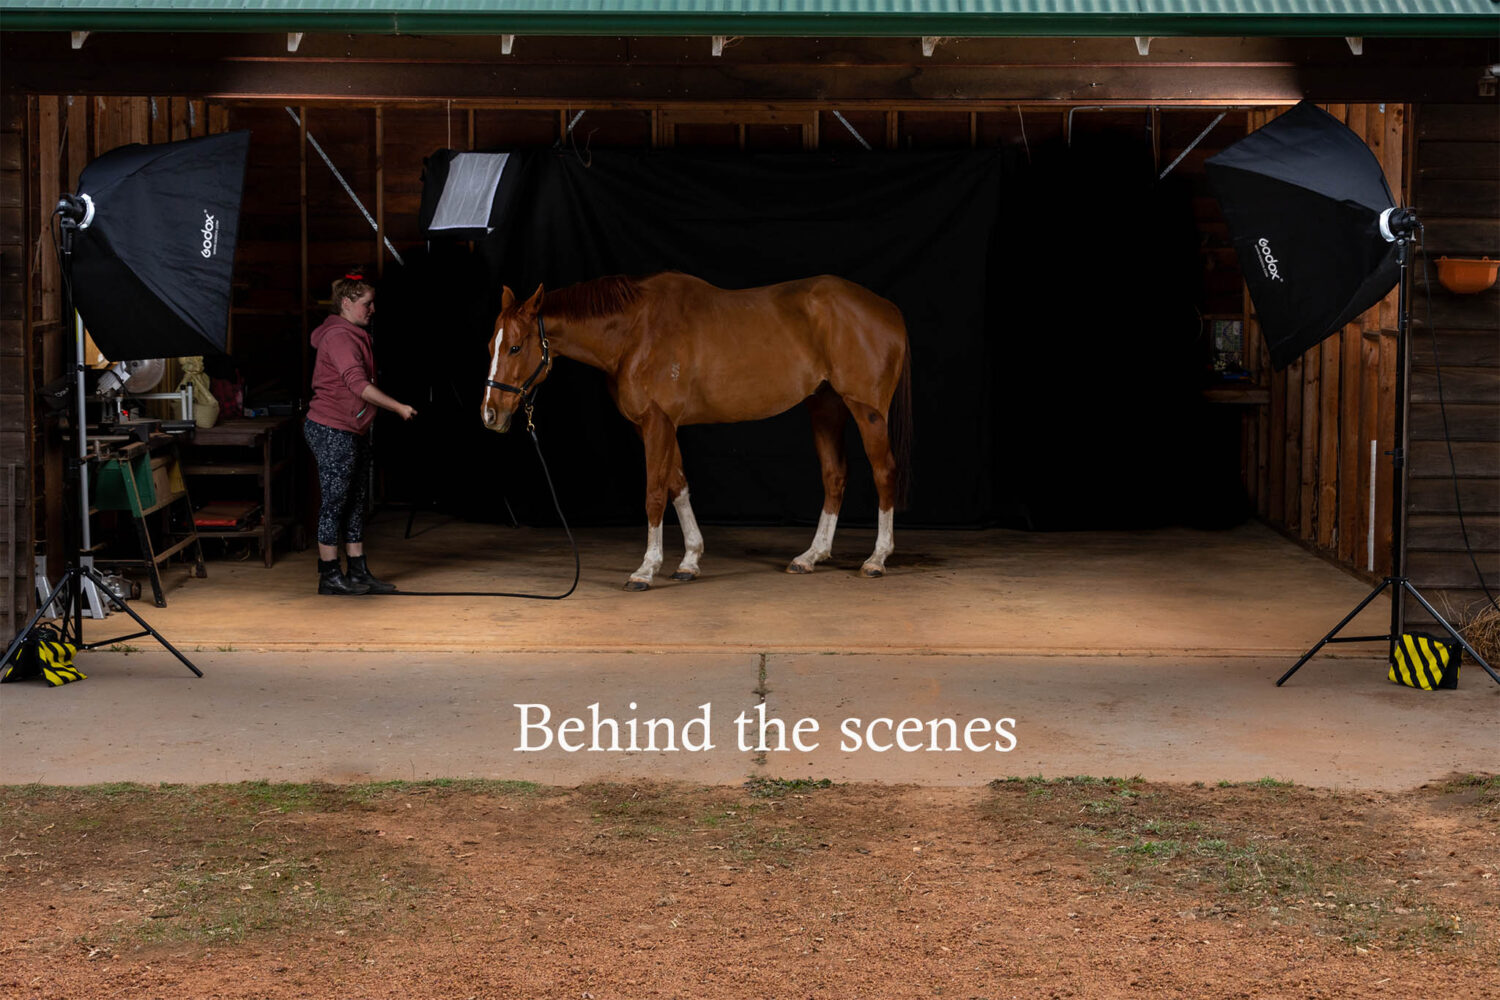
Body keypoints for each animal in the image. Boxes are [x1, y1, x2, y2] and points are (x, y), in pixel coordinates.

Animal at [480, 269, 906, 590]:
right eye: (490, 347)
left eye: (515, 348)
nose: (490, 414)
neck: (636, 331)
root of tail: (888, 309)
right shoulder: (658, 426)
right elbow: (677, 486)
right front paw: (689, 561)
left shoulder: (657, 422)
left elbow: (654, 494)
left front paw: (646, 569)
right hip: (825, 406)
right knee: (834, 476)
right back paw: (810, 556)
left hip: (867, 412)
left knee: (884, 473)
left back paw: (876, 559)